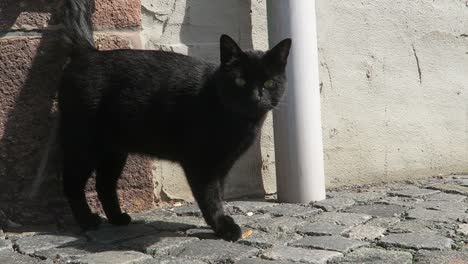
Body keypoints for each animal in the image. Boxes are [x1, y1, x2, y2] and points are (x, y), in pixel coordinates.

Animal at [58, 0, 290, 241]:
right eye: (241, 81)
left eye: (270, 83)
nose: (256, 96)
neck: (238, 121)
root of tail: (89, 53)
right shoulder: (201, 163)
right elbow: (210, 197)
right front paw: (223, 227)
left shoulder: (223, 164)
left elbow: (219, 193)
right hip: (83, 143)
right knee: (71, 184)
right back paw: (87, 221)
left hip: (114, 151)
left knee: (104, 185)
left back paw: (118, 218)